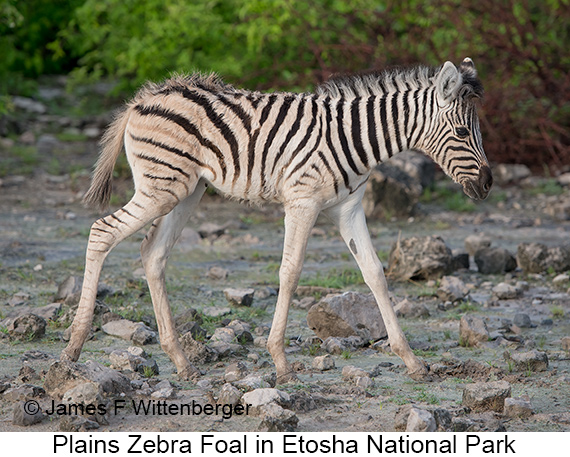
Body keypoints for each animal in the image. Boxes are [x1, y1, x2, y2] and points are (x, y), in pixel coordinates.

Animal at [61, 58, 488, 382]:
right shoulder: (301, 203)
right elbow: (291, 272)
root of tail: (145, 97)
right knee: (102, 231)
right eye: (462, 131)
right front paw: (281, 363)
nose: (488, 185)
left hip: (186, 190)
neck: (355, 139)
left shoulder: (348, 208)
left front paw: (411, 360)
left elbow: (375, 273)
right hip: (160, 188)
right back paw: (74, 347)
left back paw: (181, 362)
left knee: (152, 253)